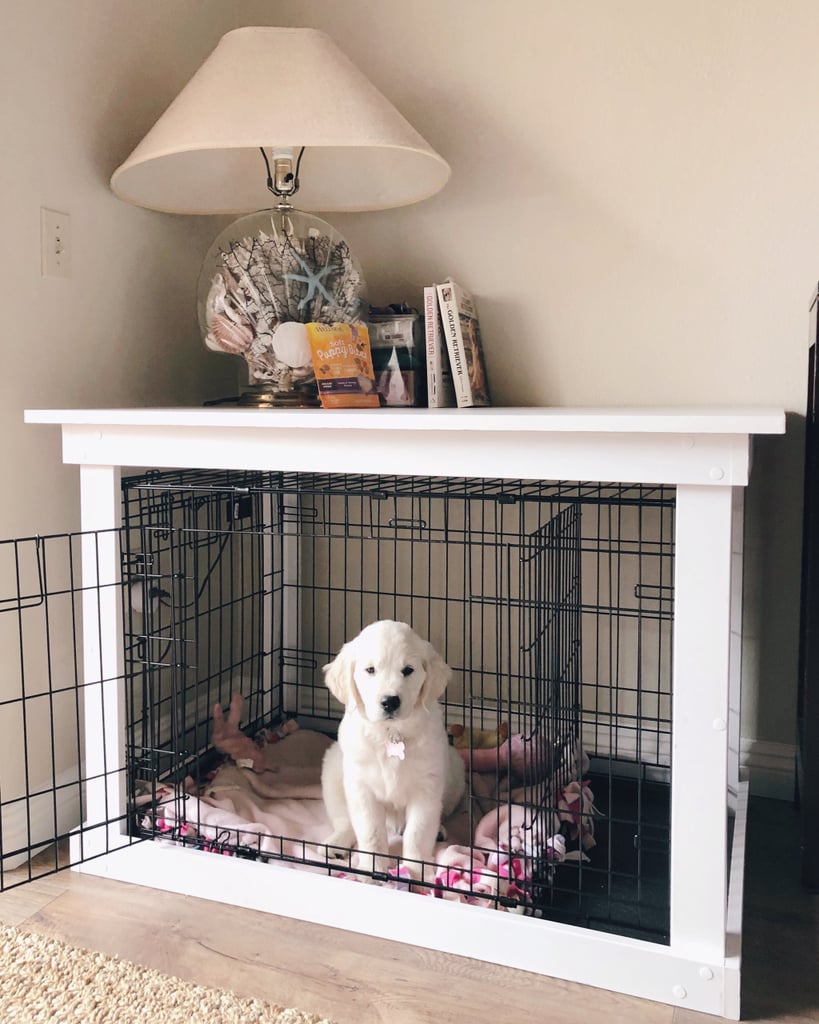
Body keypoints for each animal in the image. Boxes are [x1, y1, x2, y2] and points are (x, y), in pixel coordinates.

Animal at [317, 618, 464, 876]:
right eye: (370, 670)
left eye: (408, 670)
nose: (390, 702)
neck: (391, 733)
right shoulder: (361, 788)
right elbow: (370, 833)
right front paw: (372, 869)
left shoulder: (426, 788)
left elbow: (418, 833)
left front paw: (416, 871)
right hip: (333, 769)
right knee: (345, 821)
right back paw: (335, 844)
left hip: (456, 772)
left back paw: (438, 831)